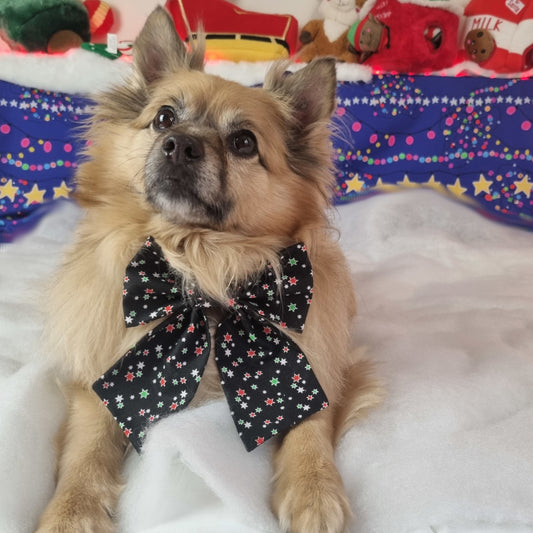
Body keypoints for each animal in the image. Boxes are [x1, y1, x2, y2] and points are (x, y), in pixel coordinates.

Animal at [35, 7, 380, 532]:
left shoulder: (318, 363)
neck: (202, 263)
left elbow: (310, 421)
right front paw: (71, 509)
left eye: (243, 142)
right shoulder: (98, 373)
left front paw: (314, 488)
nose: (179, 144)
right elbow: (86, 446)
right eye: (164, 118)